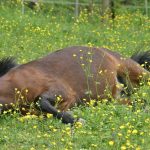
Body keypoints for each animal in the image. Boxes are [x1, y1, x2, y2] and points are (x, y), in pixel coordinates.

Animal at [0, 46, 149, 123]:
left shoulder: (63, 91)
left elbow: (41, 101)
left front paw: (75, 119)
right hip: (113, 99)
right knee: (137, 101)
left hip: (135, 70)